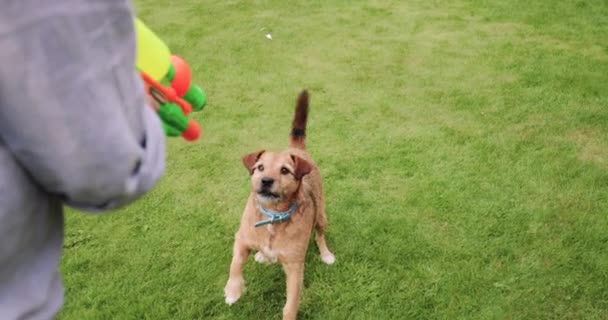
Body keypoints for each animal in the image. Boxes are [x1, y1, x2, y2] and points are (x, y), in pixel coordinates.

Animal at [226, 89, 334, 318]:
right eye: (259, 167)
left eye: (285, 170)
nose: (266, 181)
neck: (272, 215)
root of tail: (297, 150)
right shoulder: (241, 238)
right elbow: (235, 263)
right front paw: (232, 290)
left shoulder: (294, 267)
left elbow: (291, 304)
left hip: (321, 216)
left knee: (320, 235)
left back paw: (326, 254)